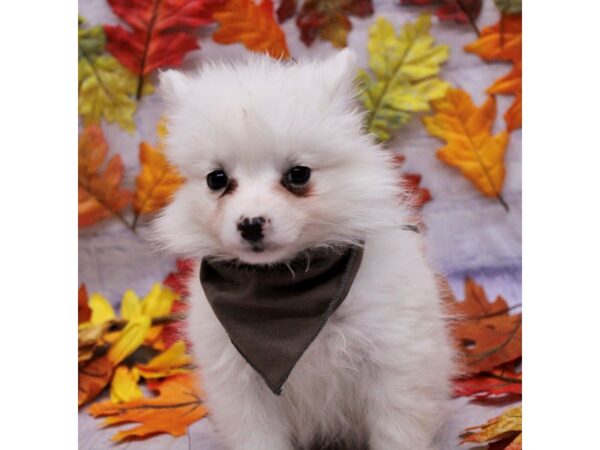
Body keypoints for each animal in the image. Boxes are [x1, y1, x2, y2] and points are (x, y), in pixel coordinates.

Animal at [155, 50, 454, 450]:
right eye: (216, 179)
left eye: (299, 174)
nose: (250, 223)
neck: (287, 289)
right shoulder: (241, 383)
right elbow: (257, 437)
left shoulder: (394, 358)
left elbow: (396, 429)